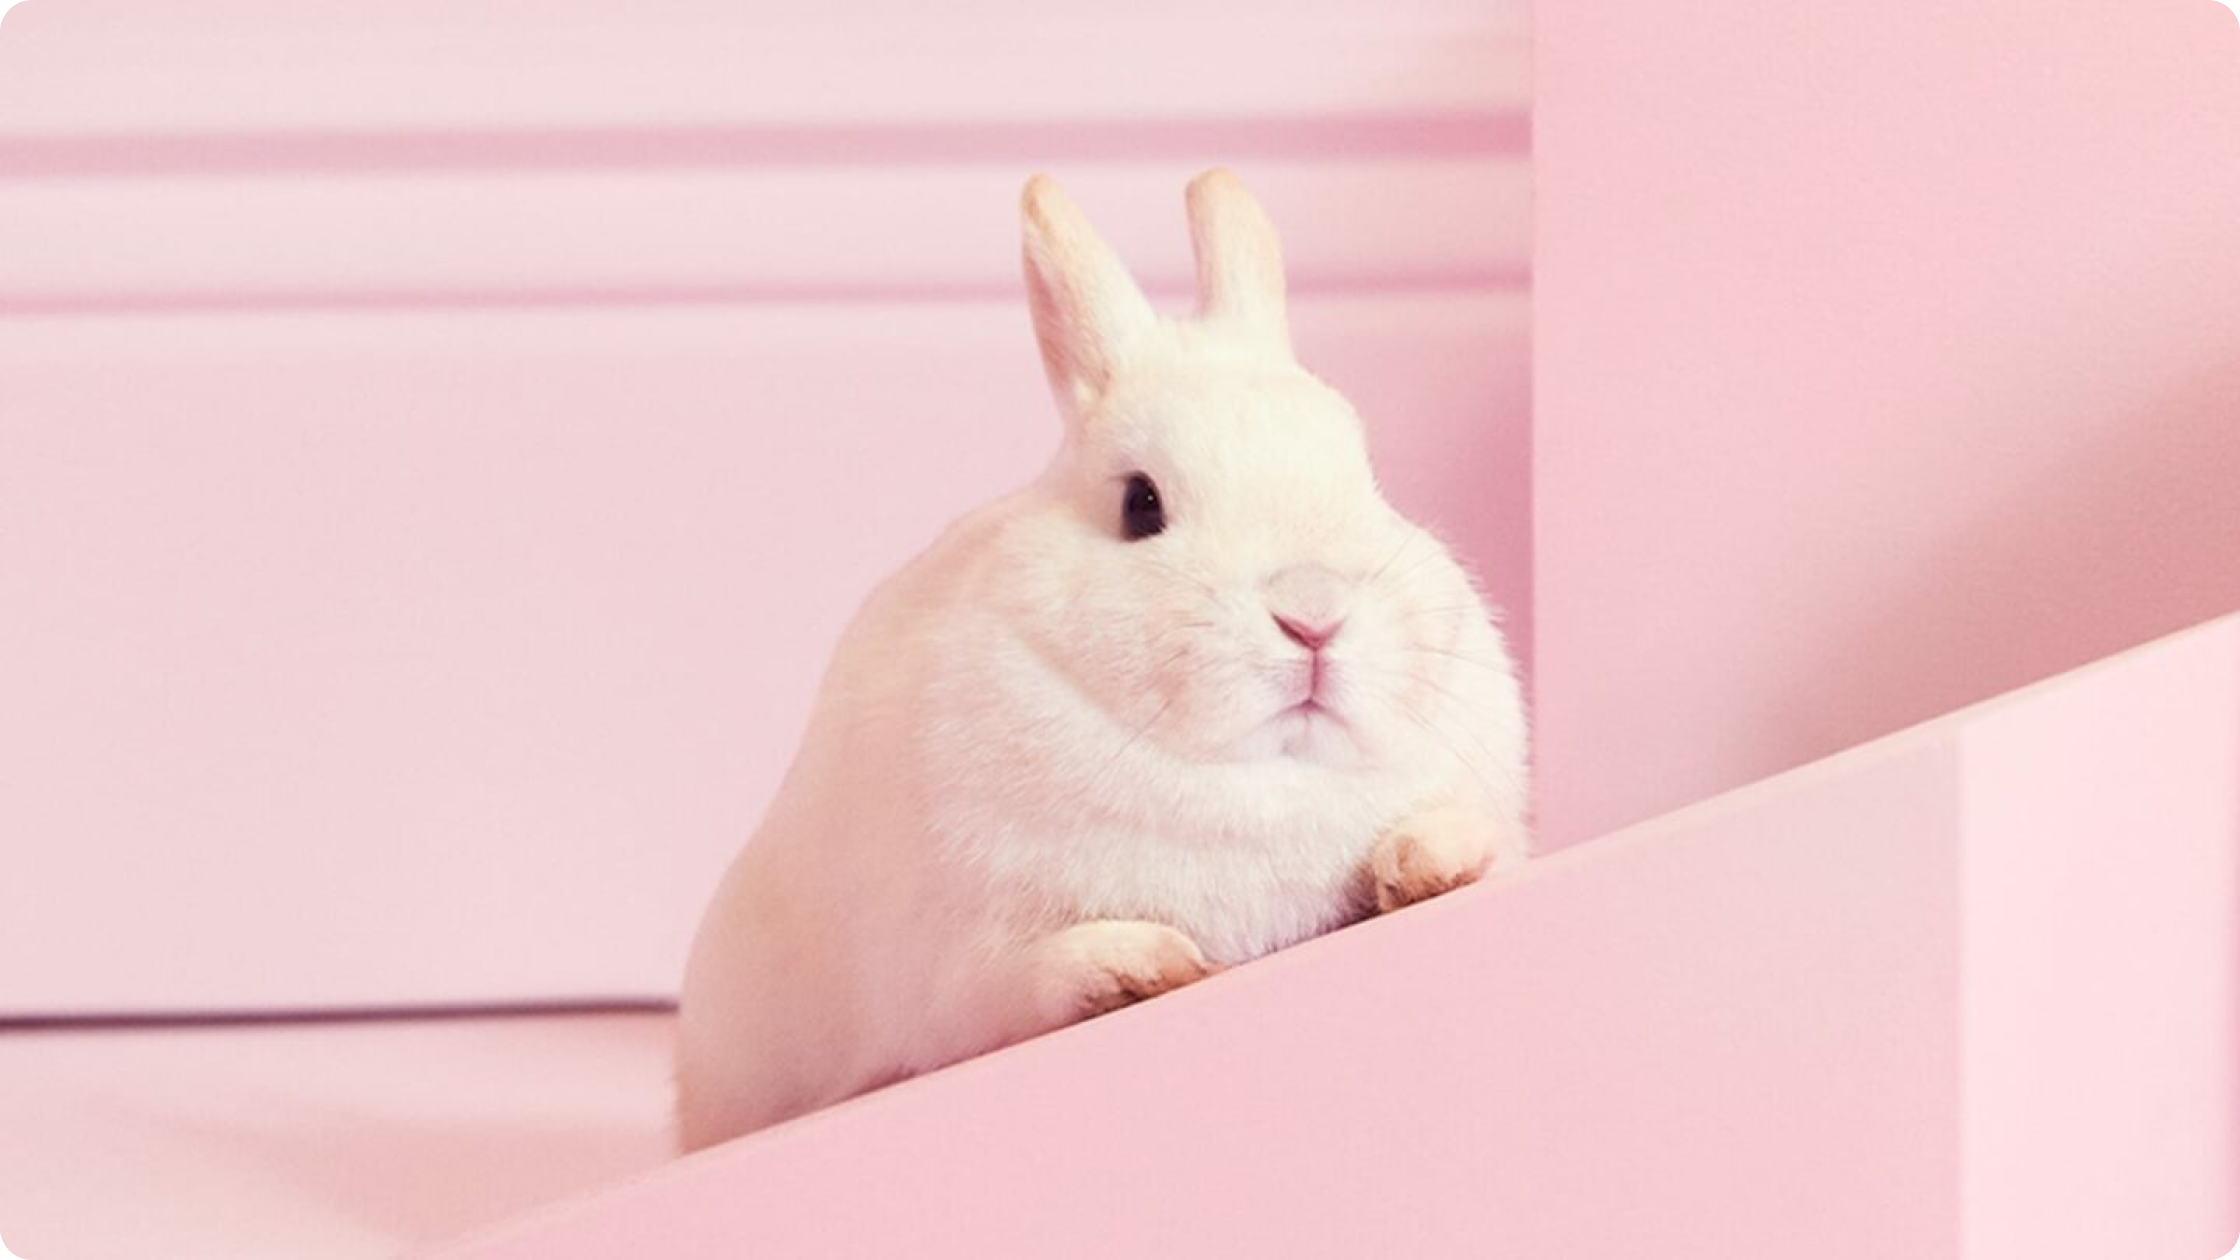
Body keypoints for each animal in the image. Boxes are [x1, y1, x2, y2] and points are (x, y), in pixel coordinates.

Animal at [675, 169, 1529, 1150]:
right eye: (1139, 503)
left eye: (1371, 478)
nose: (1315, 615)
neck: (1268, 782)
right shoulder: (968, 977)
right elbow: (1035, 981)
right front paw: (1141, 968)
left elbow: (1464, 837)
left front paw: (1426, 864)